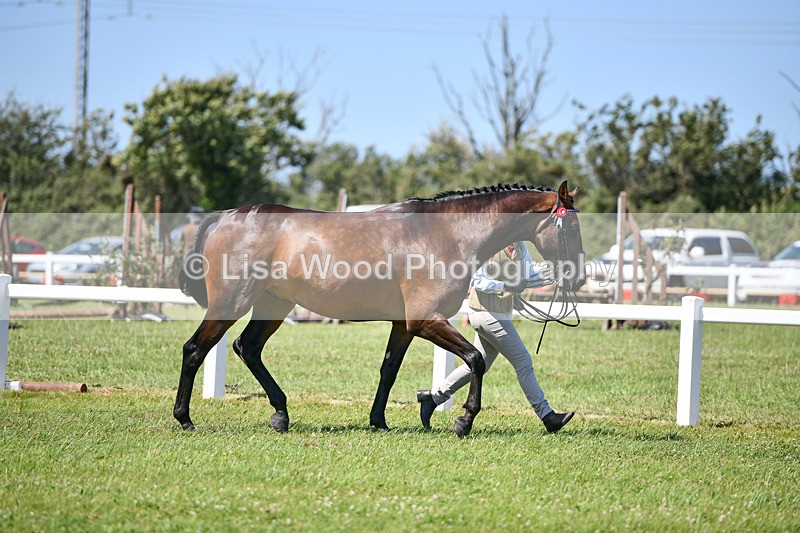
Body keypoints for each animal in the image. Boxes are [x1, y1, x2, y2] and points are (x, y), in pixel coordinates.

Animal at [175, 181, 584, 437]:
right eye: (571, 228)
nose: (578, 277)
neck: (446, 234)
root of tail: (228, 216)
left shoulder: (404, 324)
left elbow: (389, 369)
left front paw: (380, 421)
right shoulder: (424, 319)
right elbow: (475, 358)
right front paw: (464, 420)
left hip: (273, 304)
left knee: (248, 348)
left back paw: (280, 414)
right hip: (231, 303)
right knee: (195, 349)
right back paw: (185, 419)